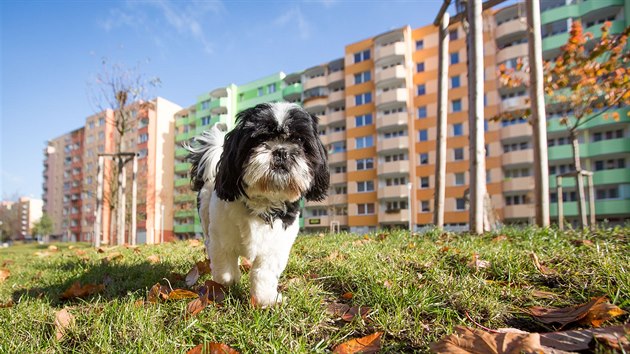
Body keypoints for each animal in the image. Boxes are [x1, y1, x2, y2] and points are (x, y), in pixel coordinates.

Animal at [184, 102, 328, 306]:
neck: (264, 201)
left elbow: (264, 273)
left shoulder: (276, 245)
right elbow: (225, 270)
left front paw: (266, 298)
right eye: (260, 138)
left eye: (299, 140)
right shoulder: (221, 239)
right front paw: (230, 281)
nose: (281, 151)